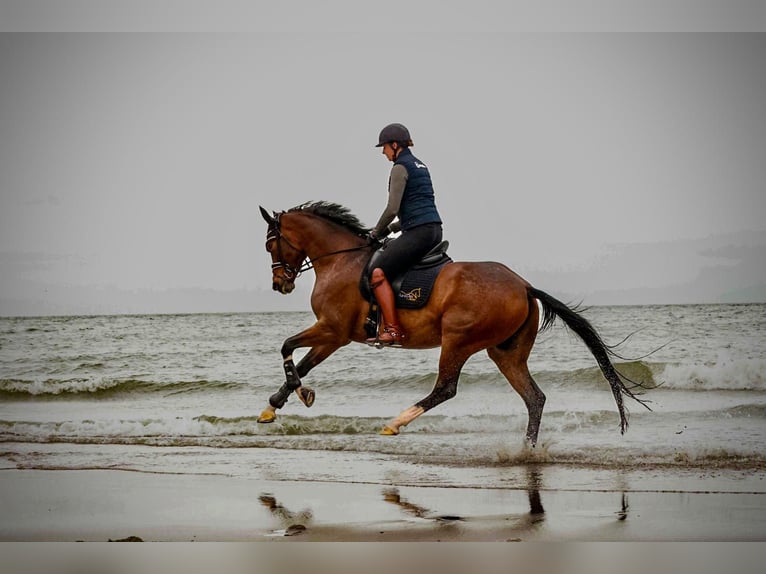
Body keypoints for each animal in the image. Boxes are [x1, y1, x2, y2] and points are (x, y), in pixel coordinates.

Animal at [257, 201, 649, 446]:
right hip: (505, 352)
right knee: (534, 398)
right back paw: (527, 448)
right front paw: (274, 405)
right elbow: (303, 363)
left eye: (271, 246)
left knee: (446, 388)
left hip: (458, 340)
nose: (279, 285)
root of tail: (523, 285)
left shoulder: (333, 329)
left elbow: (288, 347)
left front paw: (297, 394)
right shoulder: (334, 335)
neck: (340, 261)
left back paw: (395, 423)